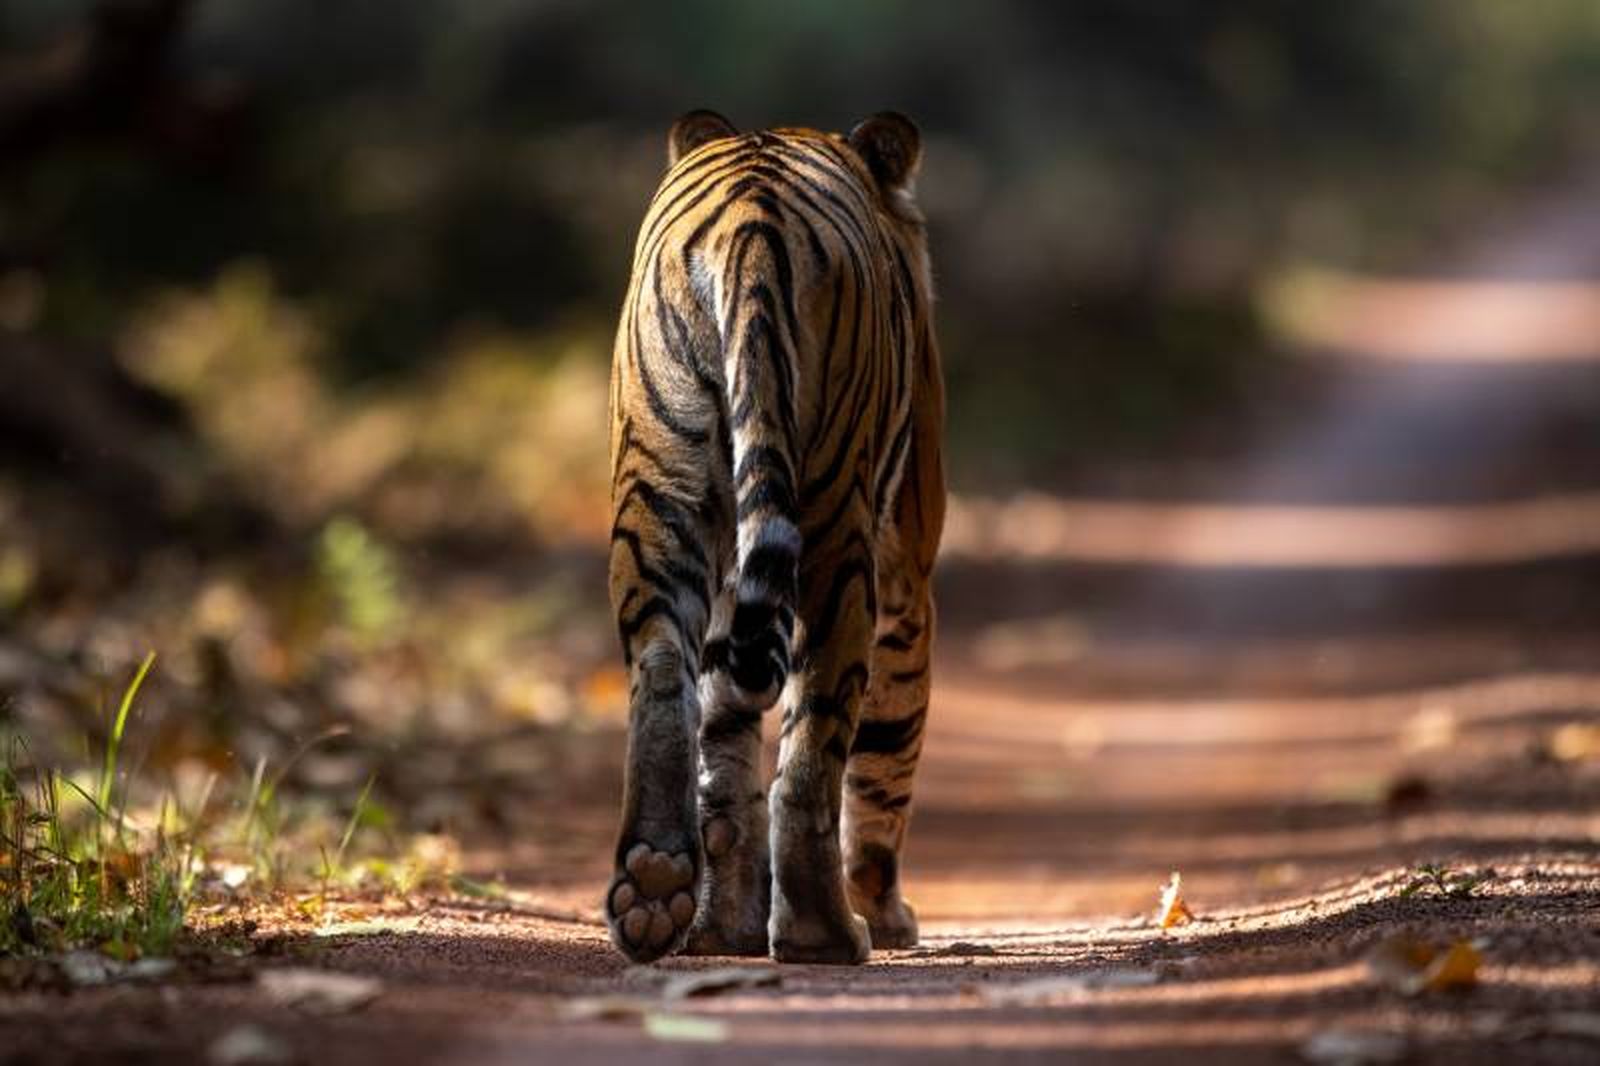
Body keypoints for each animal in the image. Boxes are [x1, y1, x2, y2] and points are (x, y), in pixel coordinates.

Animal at [603, 110, 945, 964]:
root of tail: (751, 225)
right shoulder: (907, 579)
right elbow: (887, 751)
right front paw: (889, 913)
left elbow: (724, 744)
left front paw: (722, 923)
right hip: (838, 530)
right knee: (817, 745)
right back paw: (829, 932)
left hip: (659, 489)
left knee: (666, 676)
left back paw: (656, 892)